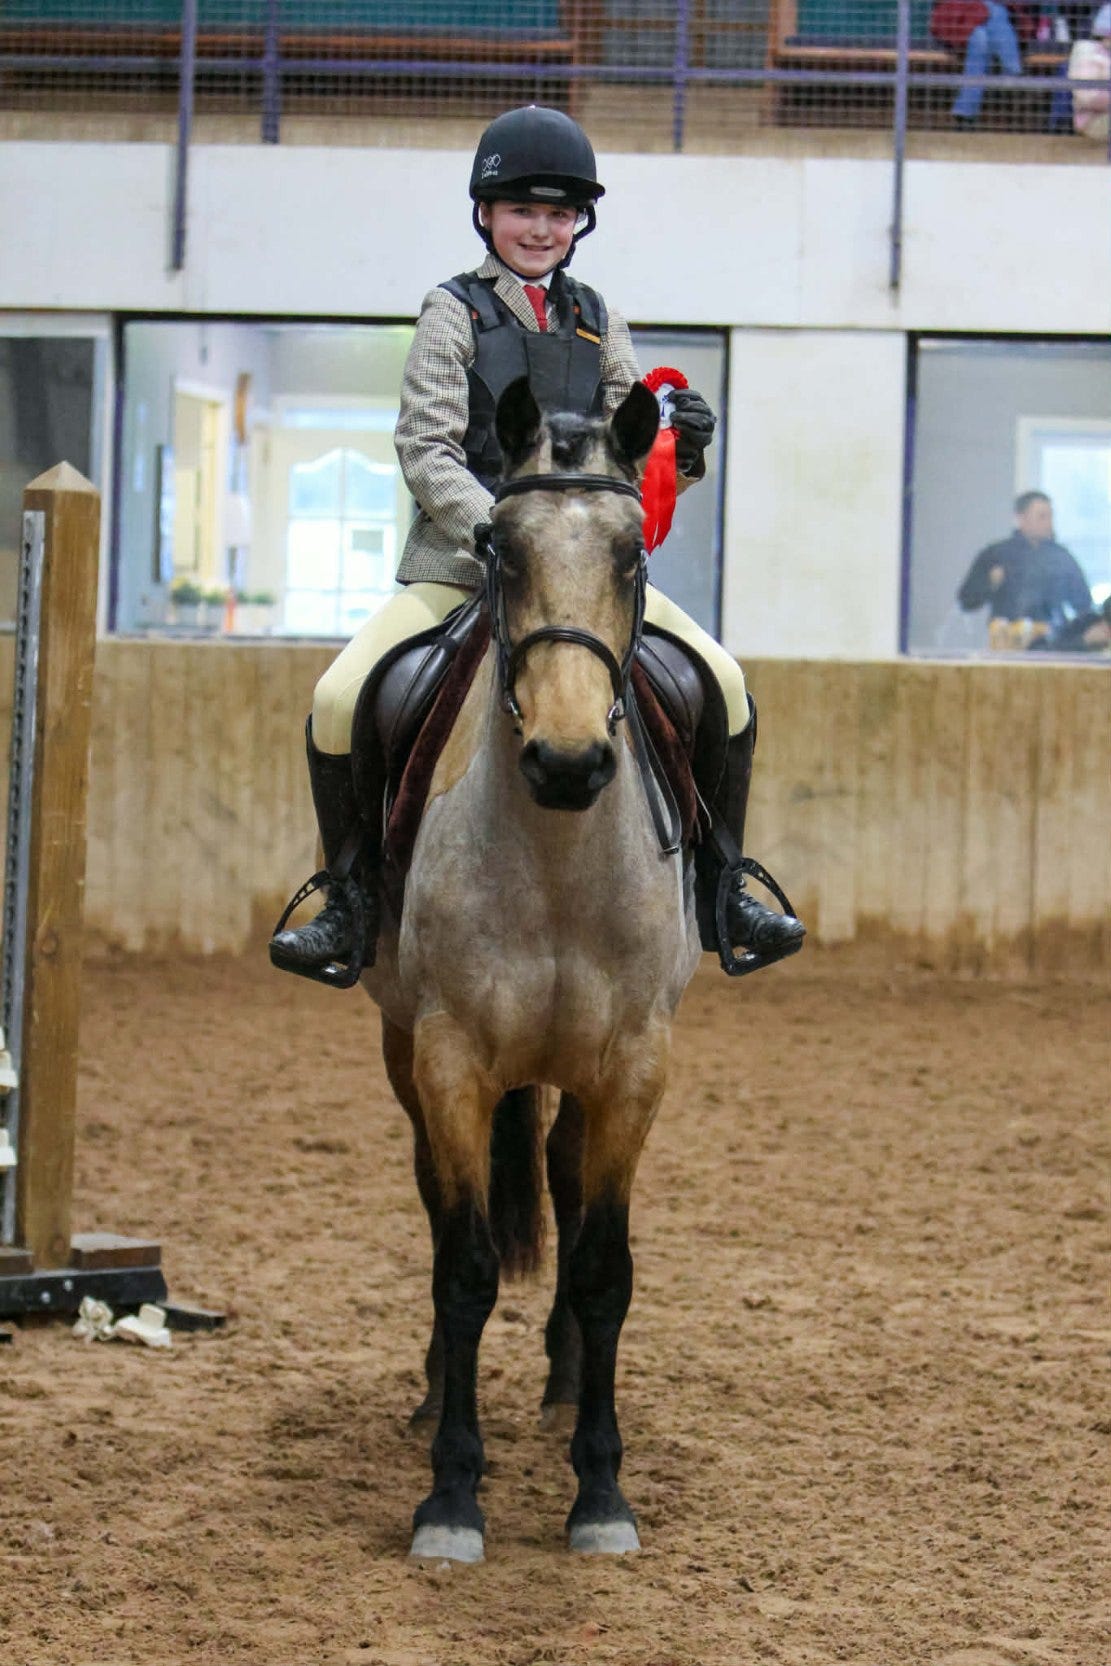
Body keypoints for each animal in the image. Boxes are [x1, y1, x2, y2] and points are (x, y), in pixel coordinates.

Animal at [361, 374, 703, 1563]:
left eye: (632, 557)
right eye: (498, 552)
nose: (566, 762)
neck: (555, 853)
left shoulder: (638, 1067)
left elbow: (603, 1270)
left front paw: (599, 1492)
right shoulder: (451, 1059)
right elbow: (462, 1267)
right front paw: (450, 1496)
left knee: (560, 1167)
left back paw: (559, 1387)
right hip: (404, 1049)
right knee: (433, 1196)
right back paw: (432, 1392)